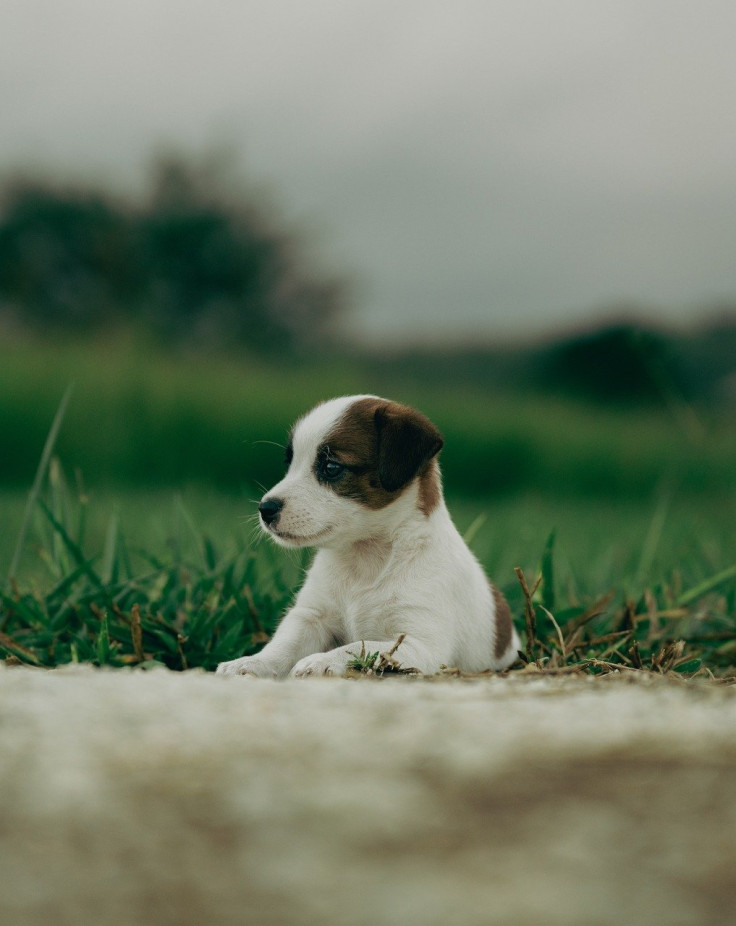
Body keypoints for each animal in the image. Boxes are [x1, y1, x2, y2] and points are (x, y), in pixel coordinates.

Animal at [216, 396, 520, 676]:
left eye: (331, 467)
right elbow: (282, 645)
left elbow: (360, 646)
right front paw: (250, 662)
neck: (364, 559)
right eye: (289, 464)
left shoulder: (420, 643)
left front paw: (320, 661)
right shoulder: (312, 616)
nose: (265, 509)